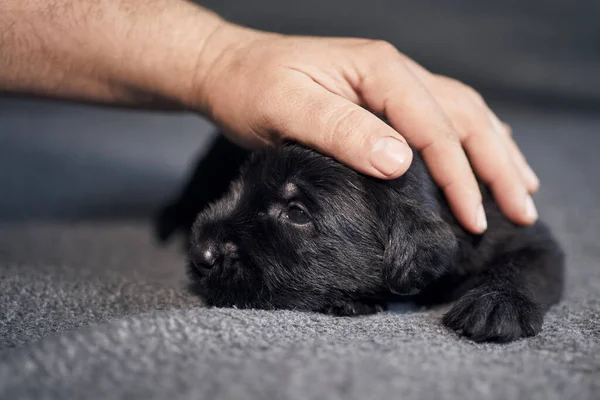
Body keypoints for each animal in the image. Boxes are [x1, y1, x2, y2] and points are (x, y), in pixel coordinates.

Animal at [158, 134, 564, 340]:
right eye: (238, 186)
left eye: (297, 212)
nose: (200, 253)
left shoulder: (517, 231)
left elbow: (525, 264)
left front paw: (498, 304)